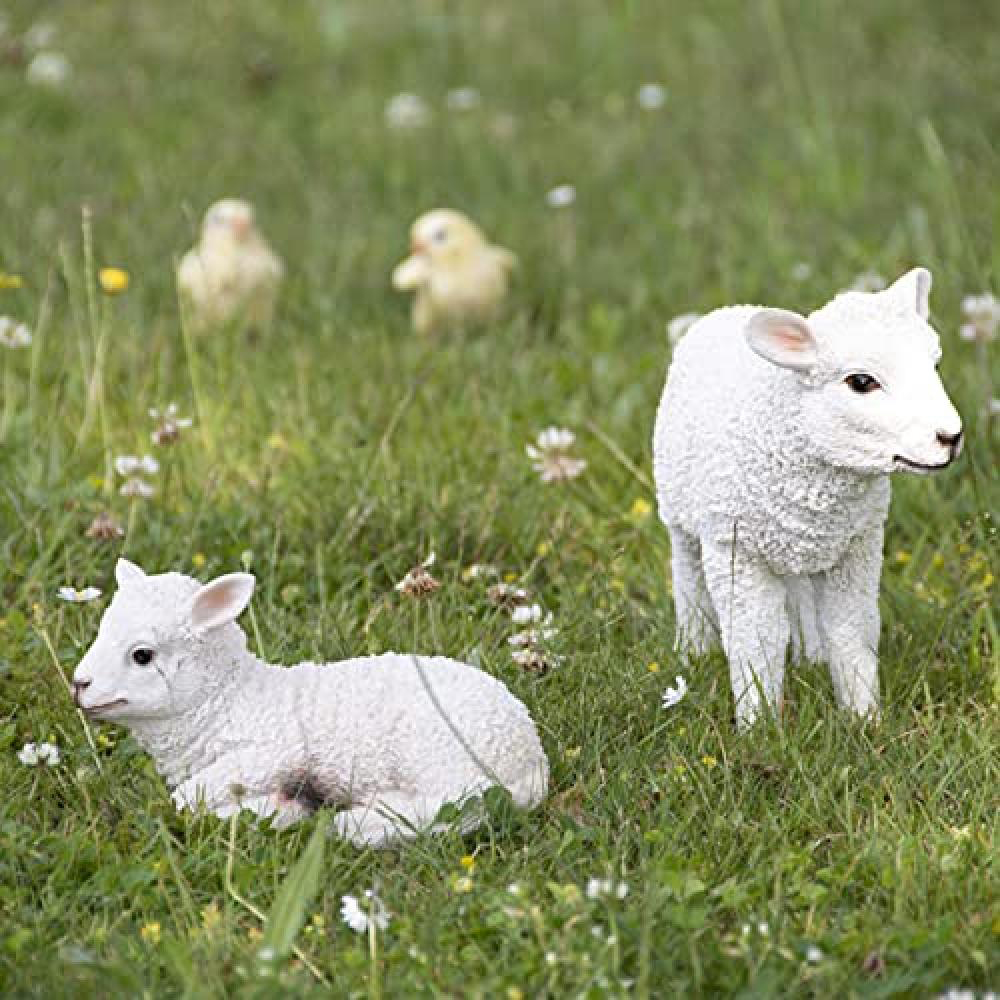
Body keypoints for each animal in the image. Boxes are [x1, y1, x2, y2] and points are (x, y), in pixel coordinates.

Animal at [72, 559, 549, 847]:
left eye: (142, 655)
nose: (79, 685)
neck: (227, 698)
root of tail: (532, 757)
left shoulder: (274, 749)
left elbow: (187, 800)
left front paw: (277, 811)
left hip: (440, 750)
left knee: (467, 804)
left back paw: (361, 822)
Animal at [652, 268, 963, 726]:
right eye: (861, 381)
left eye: (935, 364)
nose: (950, 437)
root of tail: (726, 311)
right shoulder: (736, 551)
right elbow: (756, 639)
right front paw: (759, 725)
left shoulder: (858, 546)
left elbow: (853, 629)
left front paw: (864, 719)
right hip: (681, 514)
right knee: (688, 578)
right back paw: (693, 651)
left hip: (799, 545)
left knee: (799, 595)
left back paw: (809, 655)